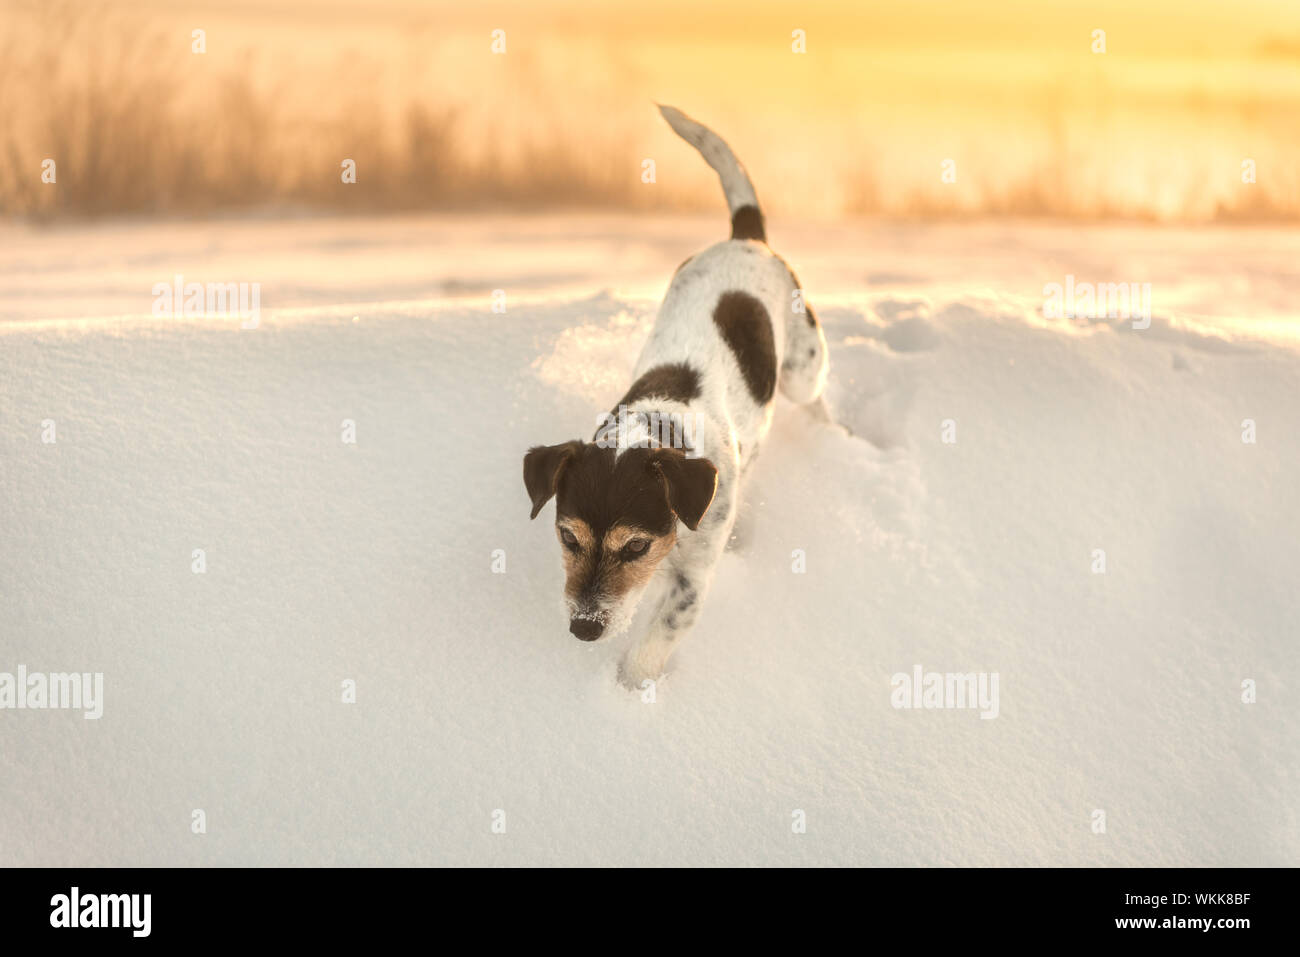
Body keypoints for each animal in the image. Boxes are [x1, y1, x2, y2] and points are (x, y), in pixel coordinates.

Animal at [522, 106, 826, 686]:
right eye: (568, 538)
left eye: (636, 545)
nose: (584, 630)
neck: (659, 421)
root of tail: (746, 238)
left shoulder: (692, 580)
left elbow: (655, 641)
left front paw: (627, 693)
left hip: (804, 362)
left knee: (815, 394)